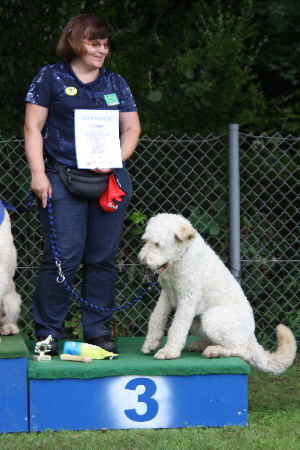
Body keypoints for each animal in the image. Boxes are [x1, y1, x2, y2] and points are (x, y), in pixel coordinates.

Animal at [139, 213, 298, 374]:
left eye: (157, 244)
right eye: (146, 241)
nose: (142, 261)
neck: (181, 259)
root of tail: (250, 337)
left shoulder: (187, 300)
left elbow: (176, 327)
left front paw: (169, 352)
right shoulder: (166, 295)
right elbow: (156, 318)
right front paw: (150, 343)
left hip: (211, 318)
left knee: (242, 351)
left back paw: (215, 351)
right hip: (198, 322)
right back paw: (201, 345)